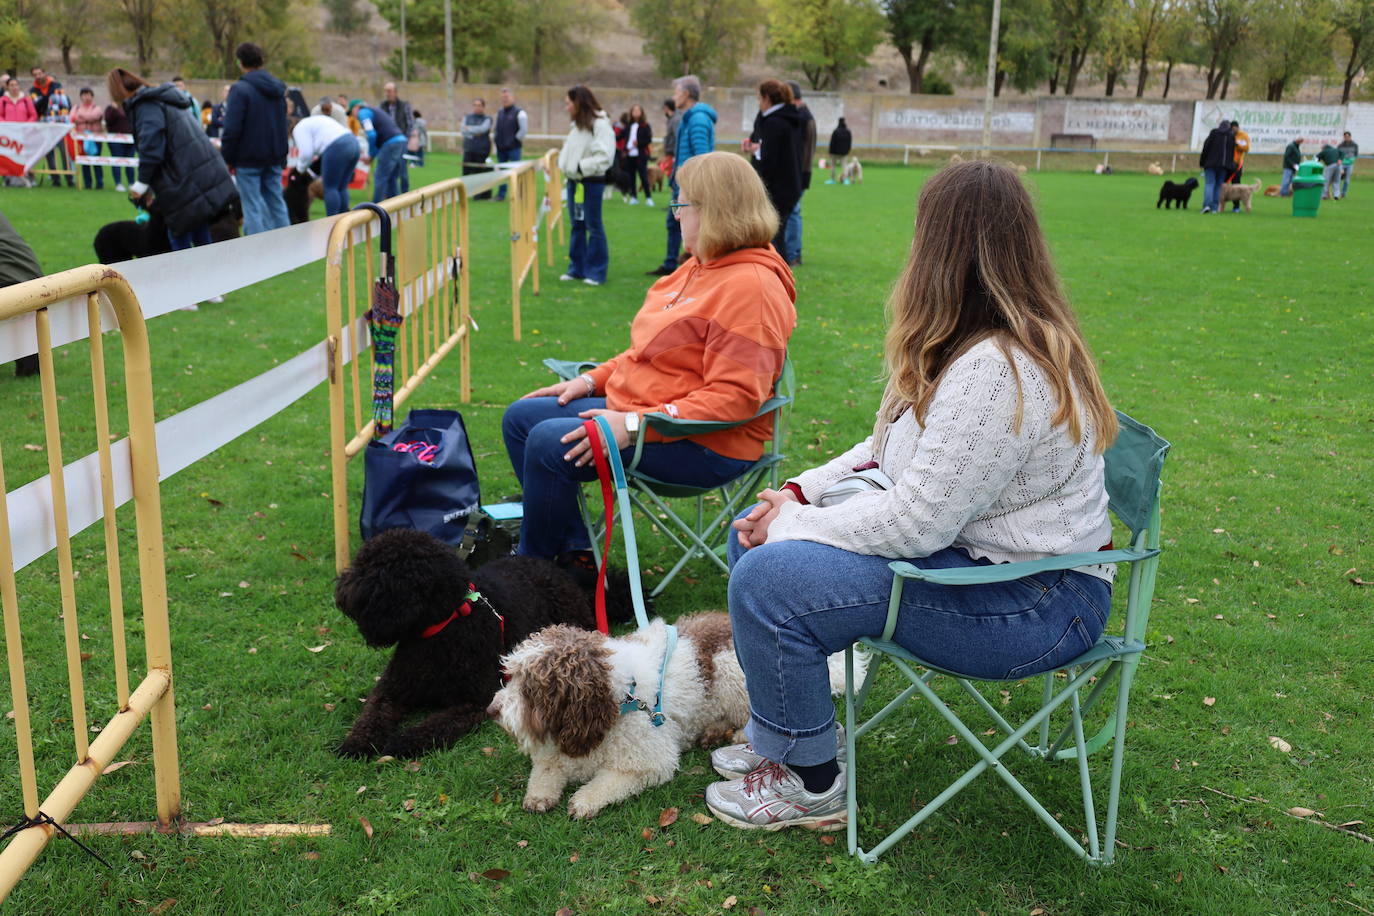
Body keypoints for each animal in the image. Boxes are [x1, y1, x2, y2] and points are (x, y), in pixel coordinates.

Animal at [332, 530, 632, 758]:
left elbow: (436, 725)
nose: (340, 589)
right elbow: (372, 714)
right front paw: (357, 742)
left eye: (373, 569)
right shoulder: (392, 688)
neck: (443, 627)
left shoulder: (474, 702)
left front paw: (404, 741)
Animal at [489, 612, 862, 818]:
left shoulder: (650, 760)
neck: (615, 703)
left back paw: (738, 735)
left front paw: (585, 799)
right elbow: (544, 770)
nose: (492, 710)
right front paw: (539, 795)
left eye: (532, 688)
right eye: (512, 676)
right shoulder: (557, 749)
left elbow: (609, 780)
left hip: (733, 673)